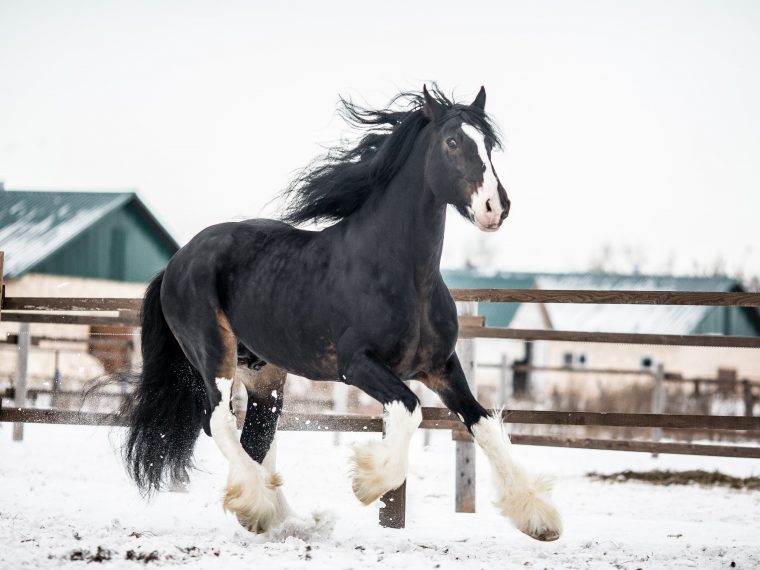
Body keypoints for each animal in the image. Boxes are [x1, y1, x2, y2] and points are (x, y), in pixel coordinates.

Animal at [127, 86, 560, 540]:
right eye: (453, 142)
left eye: (489, 145)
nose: (496, 207)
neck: (403, 276)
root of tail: (177, 260)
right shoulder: (358, 365)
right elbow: (410, 409)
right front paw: (368, 482)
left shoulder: (441, 367)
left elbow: (484, 423)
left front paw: (540, 517)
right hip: (213, 353)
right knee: (219, 421)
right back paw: (256, 508)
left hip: (264, 372)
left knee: (258, 435)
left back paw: (287, 518)